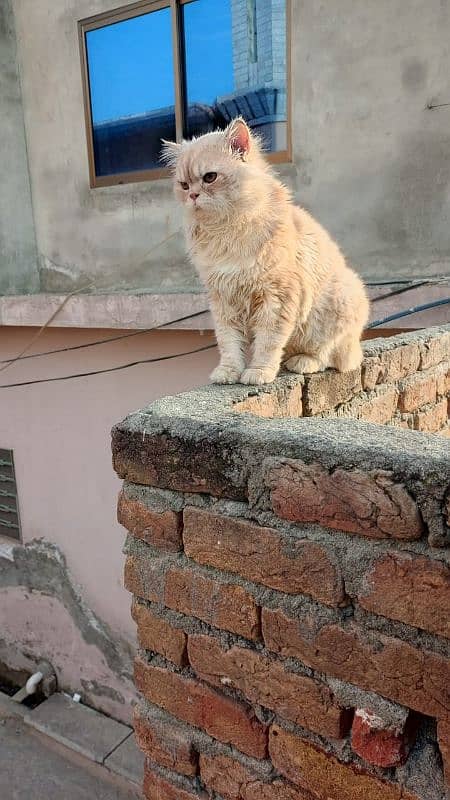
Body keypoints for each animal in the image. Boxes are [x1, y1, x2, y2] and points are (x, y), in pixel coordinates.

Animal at [162, 118, 370, 388]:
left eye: (210, 177)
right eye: (184, 185)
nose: (193, 195)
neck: (226, 231)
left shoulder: (276, 297)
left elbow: (267, 343)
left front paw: (258, 372)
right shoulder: (224, 301)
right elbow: (229, 344)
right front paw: (228, 372)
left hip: (341, 302)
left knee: (328, 355)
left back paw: (302, 362)